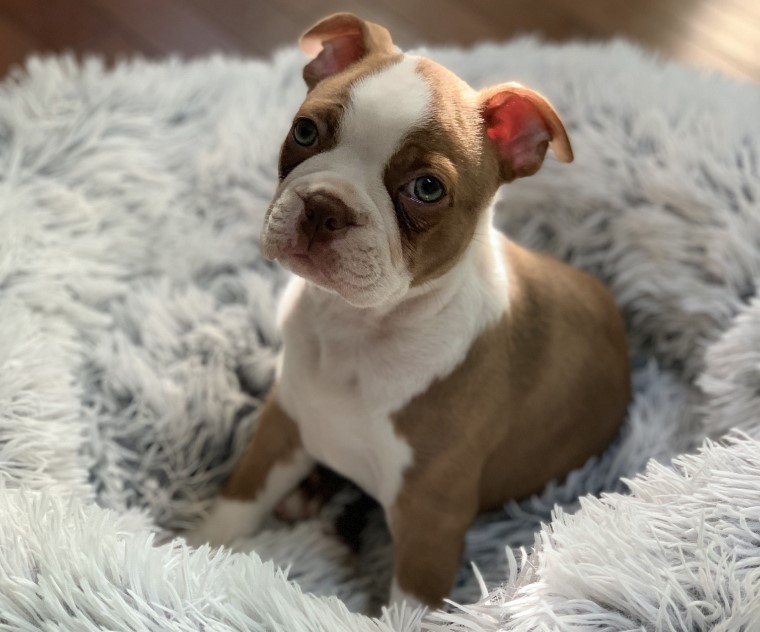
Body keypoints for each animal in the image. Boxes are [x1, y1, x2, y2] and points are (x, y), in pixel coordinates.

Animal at [187, 12, 632, 608]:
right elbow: (236, 505)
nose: (324, 206)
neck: (358, 326)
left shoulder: (431, 521)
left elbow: (407, 607)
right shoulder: (281, 425)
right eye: (304, 132)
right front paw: (187, 553)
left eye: (426, 188)